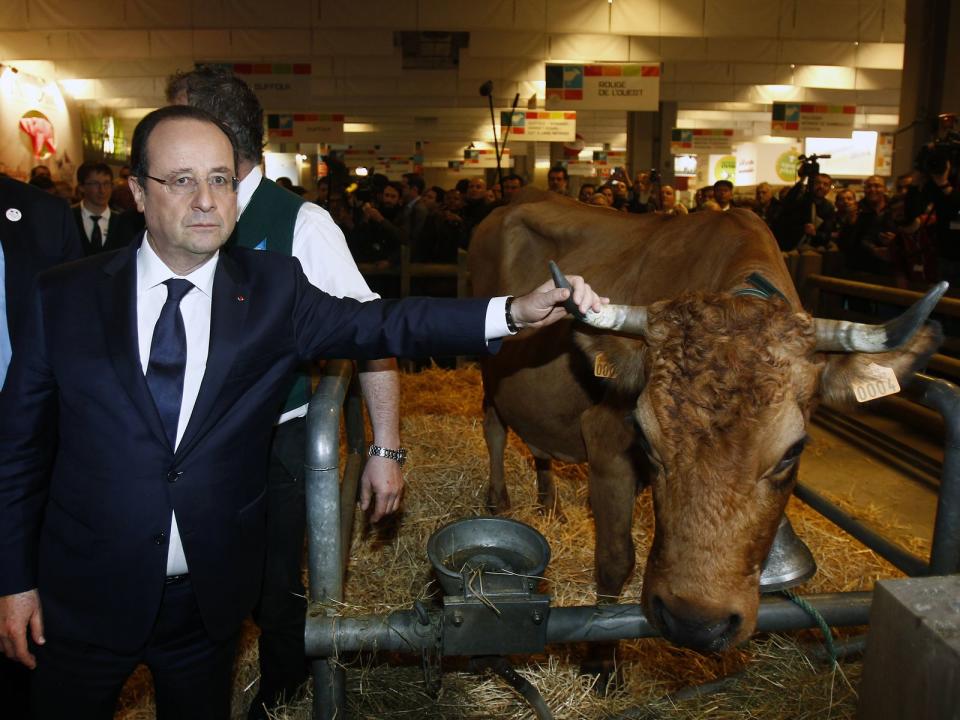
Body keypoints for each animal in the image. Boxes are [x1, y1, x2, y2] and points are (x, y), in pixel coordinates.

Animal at [468, 190, 940, 652]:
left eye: (793, 451)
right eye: (644, 438)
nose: (695, 623)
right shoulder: (605, 440)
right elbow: (615, 561)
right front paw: (601, 665)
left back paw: (548, 502)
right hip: (489, 370)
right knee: (493, 427)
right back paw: (499, 498)